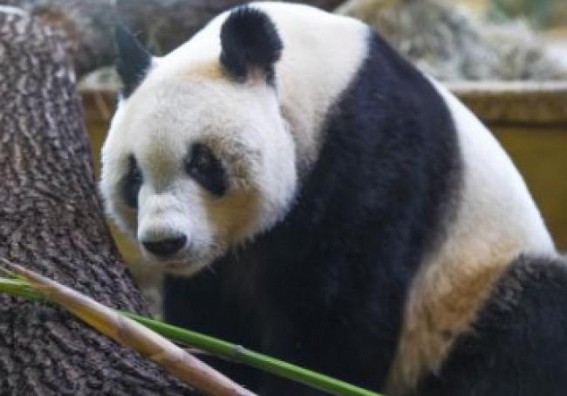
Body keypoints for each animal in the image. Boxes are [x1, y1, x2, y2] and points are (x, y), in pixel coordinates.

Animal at [100, 1, 567, 394]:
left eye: (201, 163)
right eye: (133, 174)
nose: (165, 242)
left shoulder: (373, 152)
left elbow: (342, 308)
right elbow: (209, 311)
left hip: (473, 285)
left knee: (531, 322)